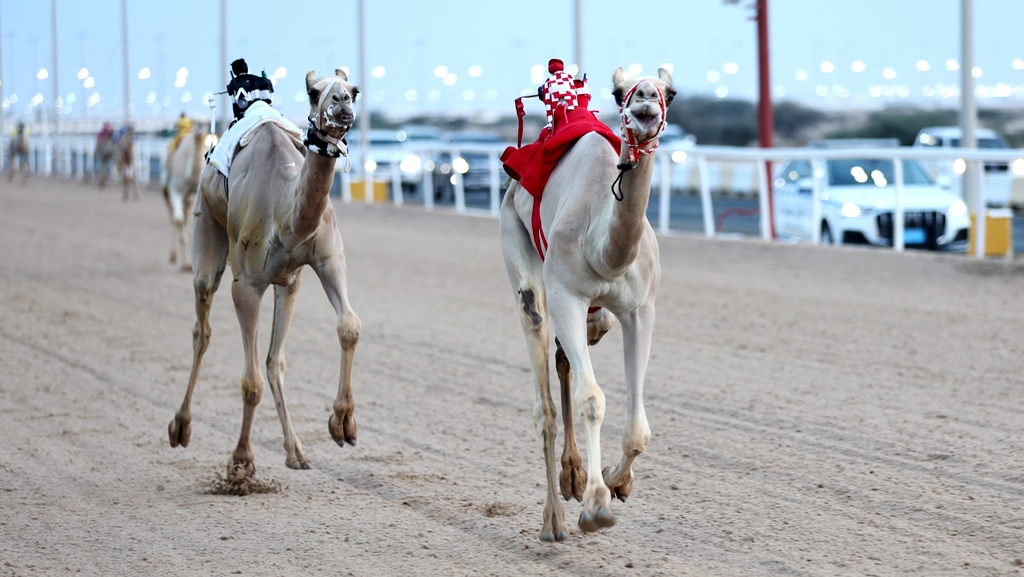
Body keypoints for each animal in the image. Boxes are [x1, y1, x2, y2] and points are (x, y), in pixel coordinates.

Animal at [173, 67, 368, 483]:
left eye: (354, 90)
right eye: (313, 91)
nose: (342, 102)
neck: (285, 214)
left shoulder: (328, 259)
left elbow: (349, 326)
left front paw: (343, 423)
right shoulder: (246, 285)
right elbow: (250, 383)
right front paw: (241, 463)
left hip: (288, 283)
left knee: (274, 360)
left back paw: (296, 451)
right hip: (207, 223)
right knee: (202, 325)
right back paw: (180, 428)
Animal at [499, 65, 675, 545]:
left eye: (670, 91)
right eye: (619, 92)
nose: (646, 99)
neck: (605, 251)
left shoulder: (641, 310)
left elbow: (639, 428)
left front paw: (617, 482)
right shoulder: (567, 296)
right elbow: (592, 398)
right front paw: (597, 505)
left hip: (599, 319)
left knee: (564, 362)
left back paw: (573, 476)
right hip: (518, 249)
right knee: (545, 399)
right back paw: (554, 519)